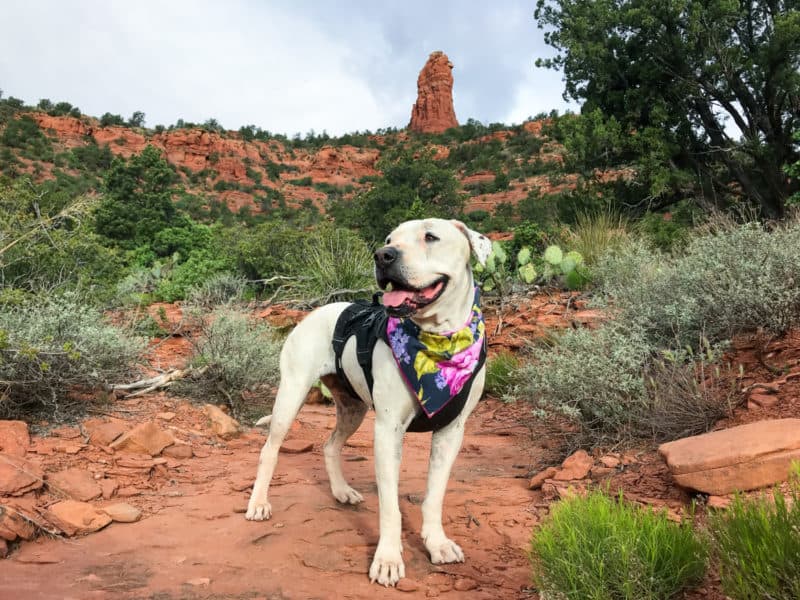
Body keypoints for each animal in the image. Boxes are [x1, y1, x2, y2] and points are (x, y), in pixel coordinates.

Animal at [247, 219, 490, 584]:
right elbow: (390, 506)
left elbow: (434, 496)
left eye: (430, 236)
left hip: (353, 408)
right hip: (291, 395)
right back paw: (259, 503)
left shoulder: (451, 432)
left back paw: (341, 491)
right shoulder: (388, 431)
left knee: (330, 445)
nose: (383, 255)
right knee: (270, 450)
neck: (438, 342)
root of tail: (317, 311)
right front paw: (388, 559)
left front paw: (437, 543)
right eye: (390, 239)